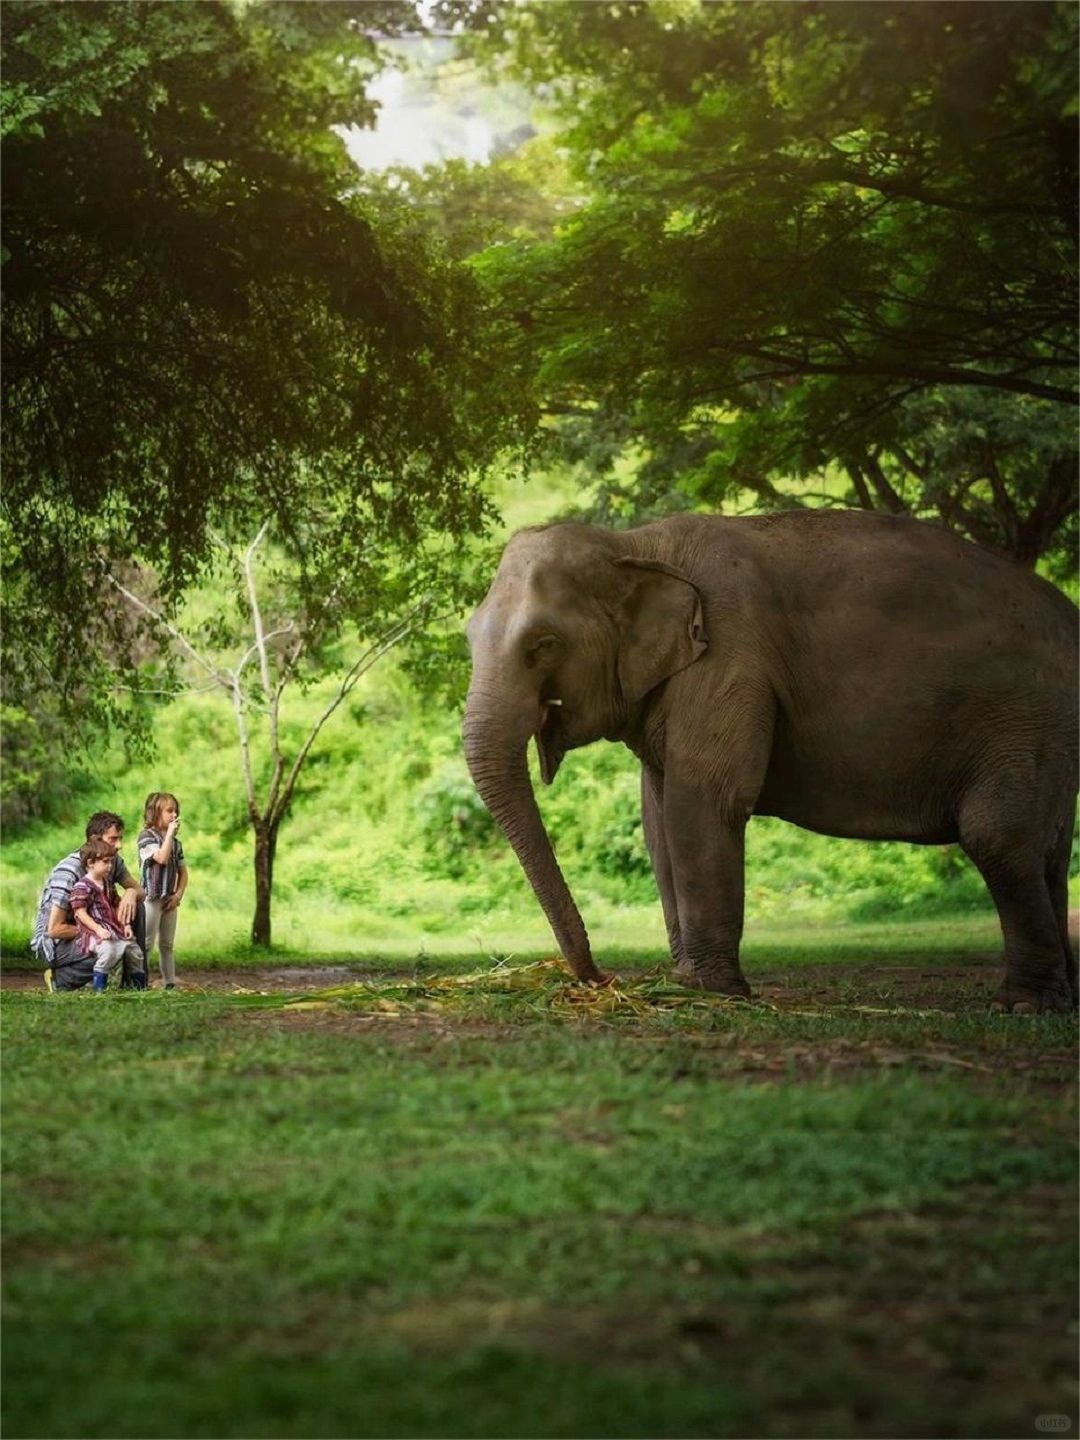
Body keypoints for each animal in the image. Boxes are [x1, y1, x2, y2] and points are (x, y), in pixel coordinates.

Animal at [466, 506, 1080, 1013]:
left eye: (543, 644)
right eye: (469, 637)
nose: (600, 978)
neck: (637, 542)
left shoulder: (729, 657)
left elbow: (703, 801)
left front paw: (710, 992)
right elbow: (658, 817)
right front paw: (684, 983)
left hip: (1024, 717)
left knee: (997, 837)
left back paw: (1022, 1005)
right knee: (1046, 851)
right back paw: (1061, 1000)